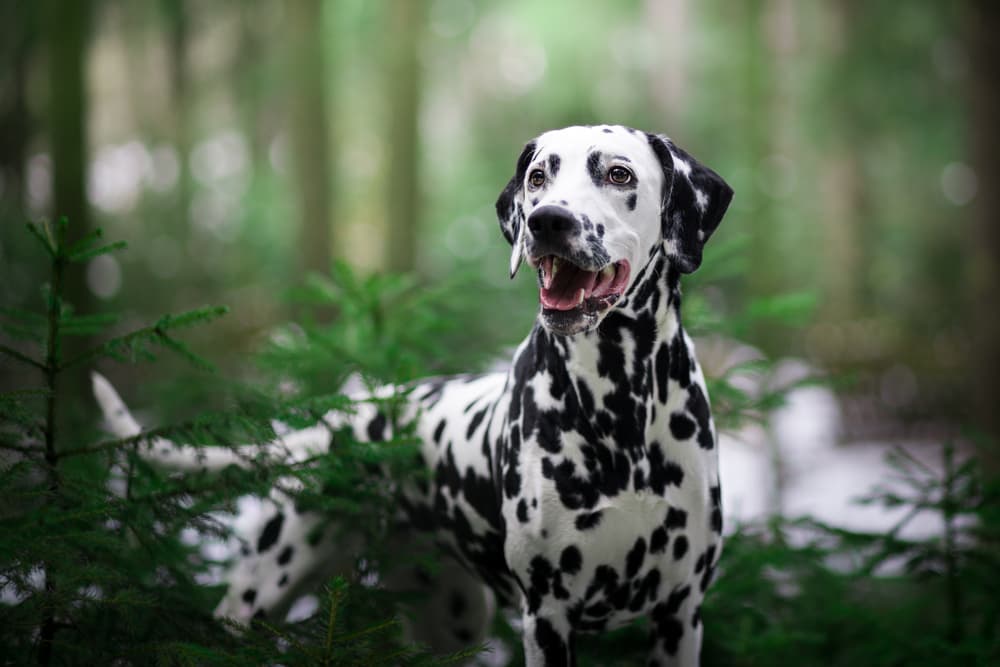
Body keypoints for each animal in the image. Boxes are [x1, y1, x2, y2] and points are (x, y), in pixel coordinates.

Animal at [94, 126, 732, 667]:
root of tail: (335, 426)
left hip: (449, 621)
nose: (547, 221)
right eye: (538, 177)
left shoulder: (680, 614)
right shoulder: (547, 616)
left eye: (618, 174)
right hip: (259, 594)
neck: (620, 407)